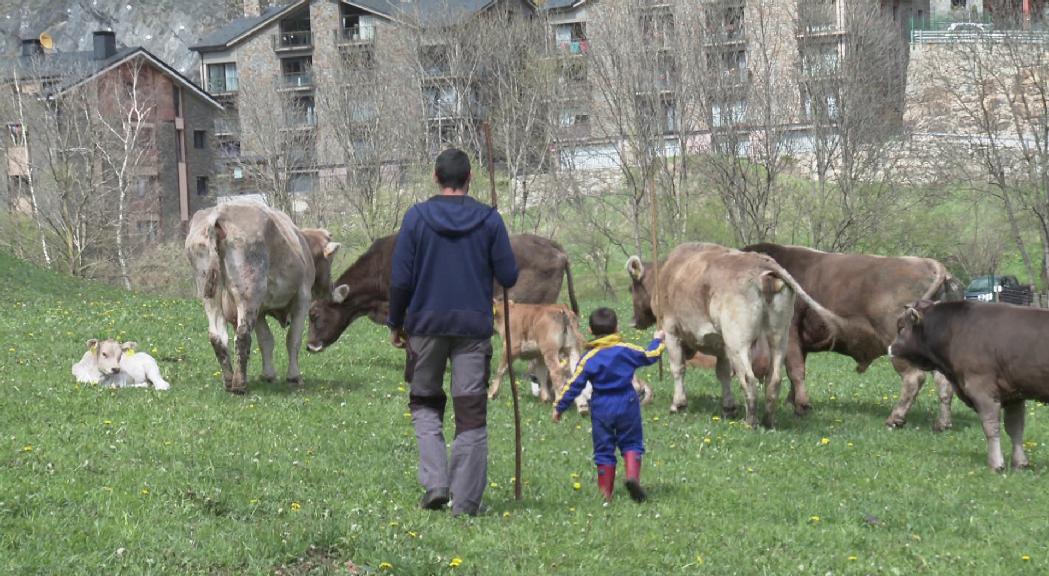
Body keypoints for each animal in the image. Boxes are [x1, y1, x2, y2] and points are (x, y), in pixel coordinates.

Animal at [184, 200, 339, 392]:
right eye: (330, 260)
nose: (330, 288)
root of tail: (219, 213)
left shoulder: (260, 311)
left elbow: (266, 341)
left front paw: (268, 375)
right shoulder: (302, 299)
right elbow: (293, 339)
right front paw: (293, 376)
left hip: (210, 295)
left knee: (217, 336)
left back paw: (229, 380)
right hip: (249, 293)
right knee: (242, 335)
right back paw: (239, 384)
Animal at [633, 241, 847, 425]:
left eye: (631, 288)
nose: (633, 321)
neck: (669, 273)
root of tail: (764, 266)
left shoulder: (671, 332)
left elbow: (678, 369)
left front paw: (678, 404)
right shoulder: (721, 345)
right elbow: (723, 373)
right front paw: (728, 408)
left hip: (738, 342)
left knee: (749, 378)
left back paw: (750, 422)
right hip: (779, 337)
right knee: (774, 379)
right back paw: (768, 420)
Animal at [746, 240, 960, 428]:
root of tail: (930, 264)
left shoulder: (790, 336)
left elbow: (796, 371)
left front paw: (802, 406)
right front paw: (793, 402)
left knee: (914, 378)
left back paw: (895, 418)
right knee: (943, 382)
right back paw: (942, 423)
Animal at [885, 297, 1049, 470]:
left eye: (901, 327)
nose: (890, 348)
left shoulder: (982, 389)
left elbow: (991, 426)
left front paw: (996, 464)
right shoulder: (1014, 394)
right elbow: (1015, 428)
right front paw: (1020, 463)